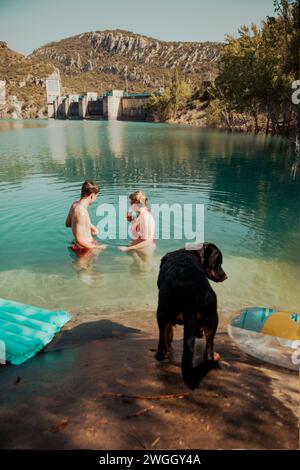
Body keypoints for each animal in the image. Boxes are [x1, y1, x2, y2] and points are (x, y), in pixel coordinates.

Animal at [156, 242, 226, 390]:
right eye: (218, 263)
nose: (225, 276)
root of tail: (190, 292)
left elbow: (169, 330)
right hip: (212, 317)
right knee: (209, 347)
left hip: (162, 311)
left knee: (162, 338)